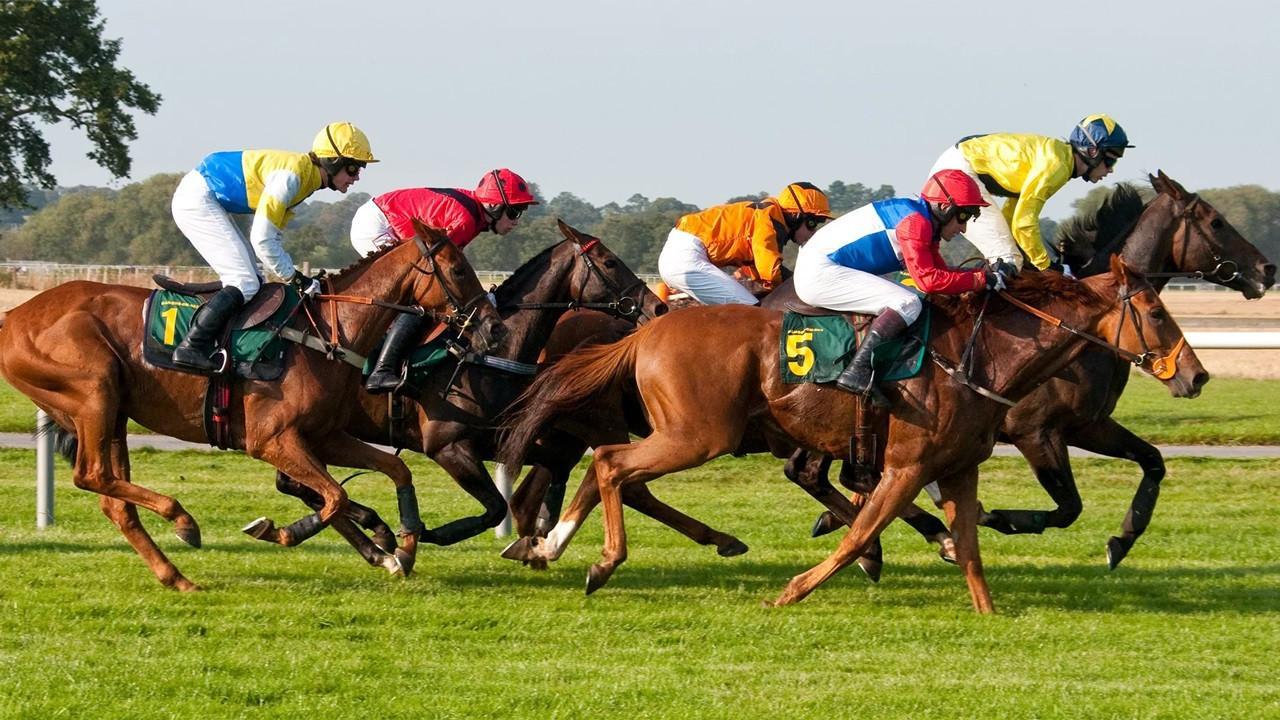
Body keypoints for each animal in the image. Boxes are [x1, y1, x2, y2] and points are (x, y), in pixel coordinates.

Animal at [0, 220, 501, 589]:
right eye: (459, 270)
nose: (493, 327)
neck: (323, 333)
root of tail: (13, 315)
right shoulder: (270, 440)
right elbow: (335, 496)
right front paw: (282, 531)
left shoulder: (324, 436)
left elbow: (391, 472)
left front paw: (402, 548)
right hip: (95, 393)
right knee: (92, 476)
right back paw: (183, 521)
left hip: (115, 412)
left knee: (114, 500)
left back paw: (175, 576)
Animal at [247, 219, 670, 548]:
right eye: (610, 262)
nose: (658, 306)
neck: (484, 356)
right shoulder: (447, 446)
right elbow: (496, 506)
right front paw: (426, 533)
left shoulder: (497, 438)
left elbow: (551, 470)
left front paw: (542, 529)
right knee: (299, 485)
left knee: (297, 485)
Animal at [501, 254, 1208, 607]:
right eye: (1154, 310)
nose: (1195, 374)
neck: (978, 356)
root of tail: (647, 328)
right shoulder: (909, 466)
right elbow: (862, 532)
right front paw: (793, 591)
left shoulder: (959, 466)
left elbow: (970, 549)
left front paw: (989, 613)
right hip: (697, 435)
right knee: (614, 465)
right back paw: (596, 560)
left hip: (684, 433)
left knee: (606, 464)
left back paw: (547, 545)